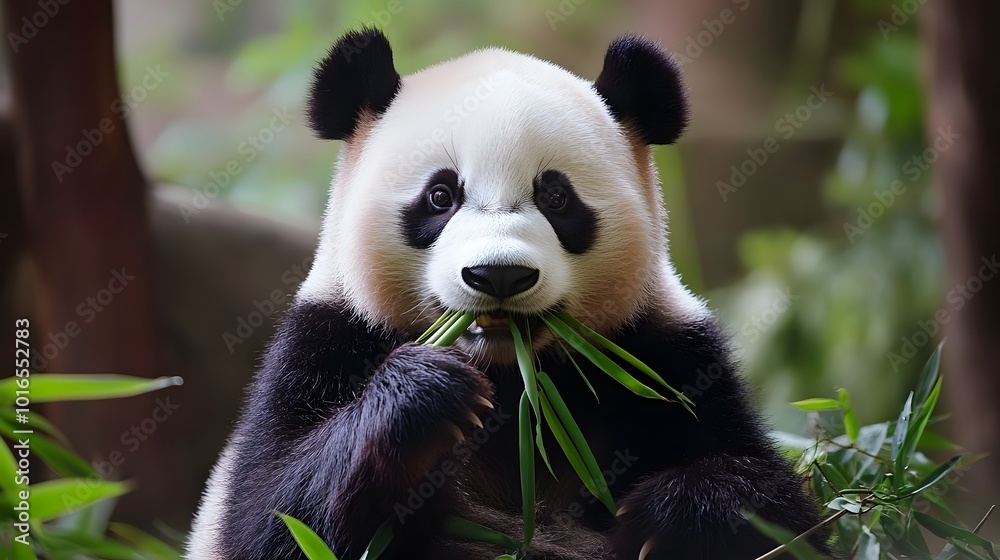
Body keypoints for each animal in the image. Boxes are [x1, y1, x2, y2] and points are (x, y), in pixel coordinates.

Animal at [188, 28, 828, 560]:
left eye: (556, 197)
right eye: (440, 196)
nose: (498, 275)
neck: (510, 375)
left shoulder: (669, 356)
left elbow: (781, 508)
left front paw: (667, 514)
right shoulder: (325, 343)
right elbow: (268, 516)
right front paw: (426, 393)